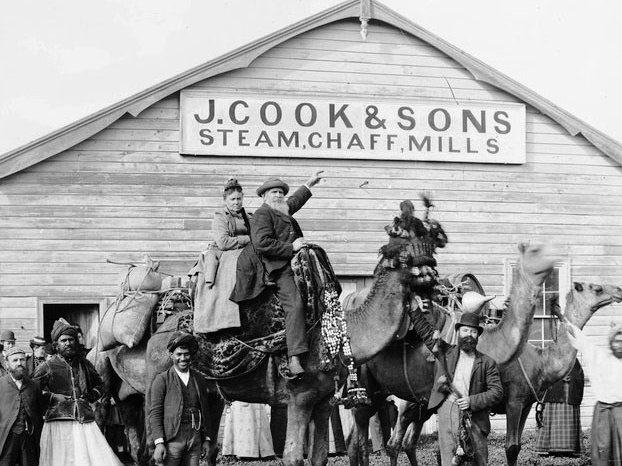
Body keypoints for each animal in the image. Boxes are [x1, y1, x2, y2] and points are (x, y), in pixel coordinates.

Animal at [500, 280, 622, 466]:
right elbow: (511, 447)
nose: (619, 290)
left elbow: (517, 447)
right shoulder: (513, 401)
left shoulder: (525, 404)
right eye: (597, 288)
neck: (540, 361)